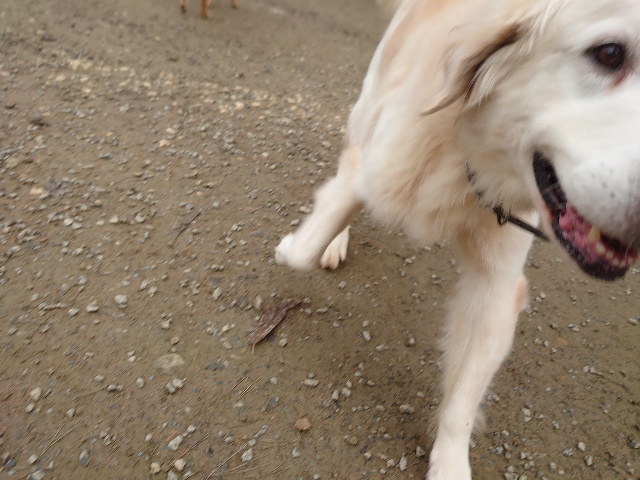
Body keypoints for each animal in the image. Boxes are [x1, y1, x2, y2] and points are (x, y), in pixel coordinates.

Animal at [276, 0, 640, 478]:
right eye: (610, 53)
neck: (475, 163)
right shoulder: (375, 165)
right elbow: (312, 238)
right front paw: (303, 245)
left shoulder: (497, 287)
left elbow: (462, 401)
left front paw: (448, 462)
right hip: (367, 103)